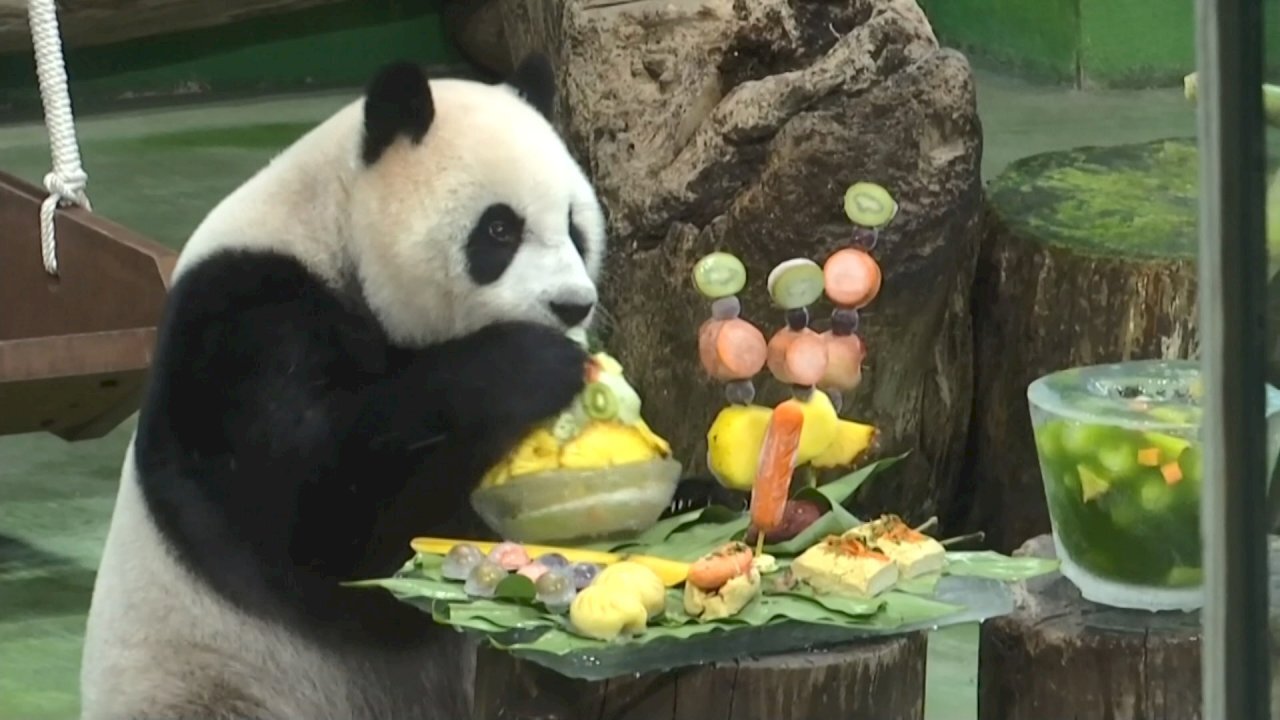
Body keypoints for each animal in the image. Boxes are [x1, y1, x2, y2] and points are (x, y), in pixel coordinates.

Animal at [78, 54, 608, 720]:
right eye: (498, 230)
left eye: (574, 227)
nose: (572, 304)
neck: (332, 222)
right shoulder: (243, 327)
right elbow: (322, 532)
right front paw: (530, 367)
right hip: (215, 686)